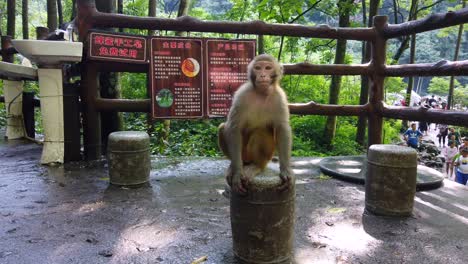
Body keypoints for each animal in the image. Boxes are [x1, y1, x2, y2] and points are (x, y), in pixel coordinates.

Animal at [217, 53, 290, 194]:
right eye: (258, 68)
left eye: (268, 68)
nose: (262, 75)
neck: (261, 93)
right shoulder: (242, 94)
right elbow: (234, 127)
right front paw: (237, 173)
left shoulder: (280, 97)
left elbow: (282, 128)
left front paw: (285, 170)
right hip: (242, 154)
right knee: (223, 128)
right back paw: (234, 166)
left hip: (266, 156)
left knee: (260, 132)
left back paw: (257, 166)